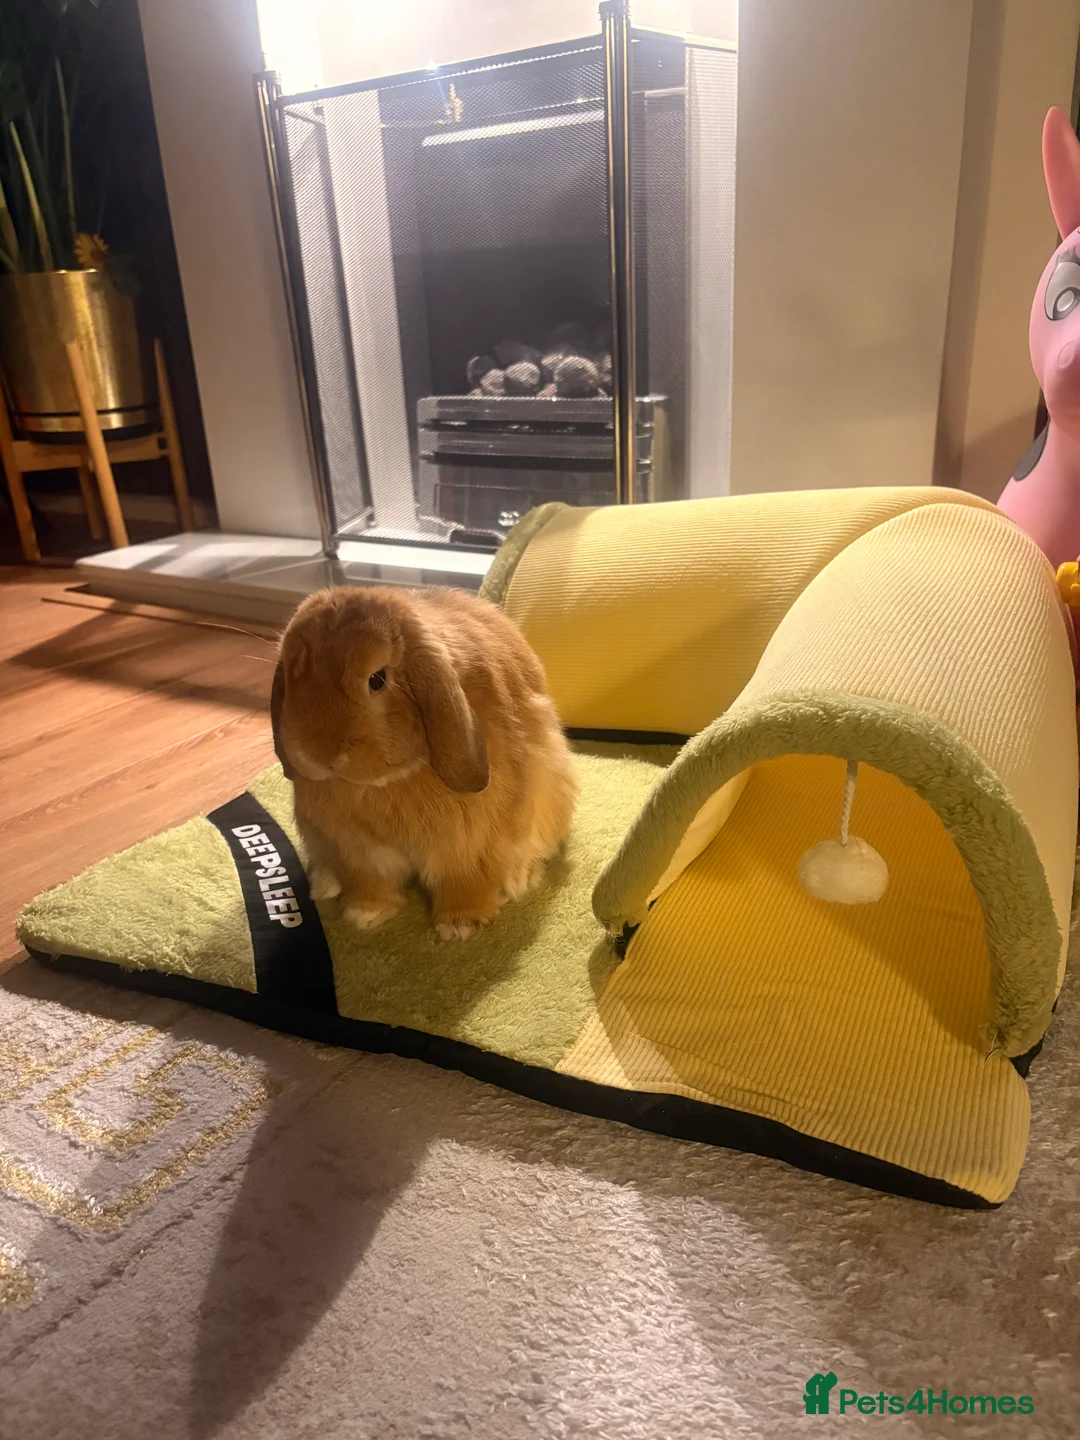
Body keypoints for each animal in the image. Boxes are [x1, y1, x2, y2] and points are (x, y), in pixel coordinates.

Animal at [270, 584, 578, 939]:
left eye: (377, 679)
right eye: (291, 677)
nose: (319, 754)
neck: (384, 784)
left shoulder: (466, 847)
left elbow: (465, 879)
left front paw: (461, 925)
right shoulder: (359, 851)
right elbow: (369, 880)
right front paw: (366, 913)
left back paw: (520, 879)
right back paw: (324, 883)